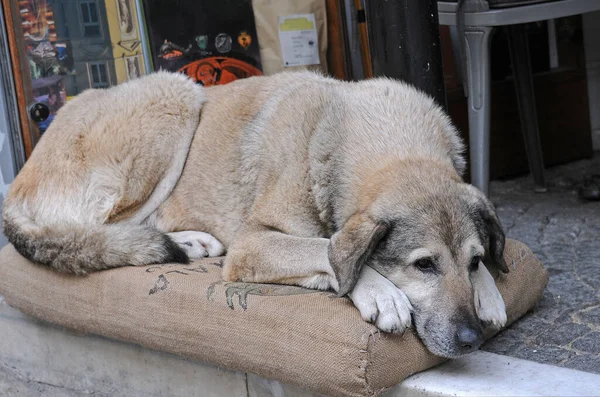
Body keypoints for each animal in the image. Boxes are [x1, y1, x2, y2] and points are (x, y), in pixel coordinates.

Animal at [2, 70, 508, 356]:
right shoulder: (251, 246)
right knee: (101, 229)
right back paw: (183, 242)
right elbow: (326, 248)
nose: (471, 341)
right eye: (423, 266)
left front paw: (488, 292)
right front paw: (379, 292)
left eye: (473, 260)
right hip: (173, 95)